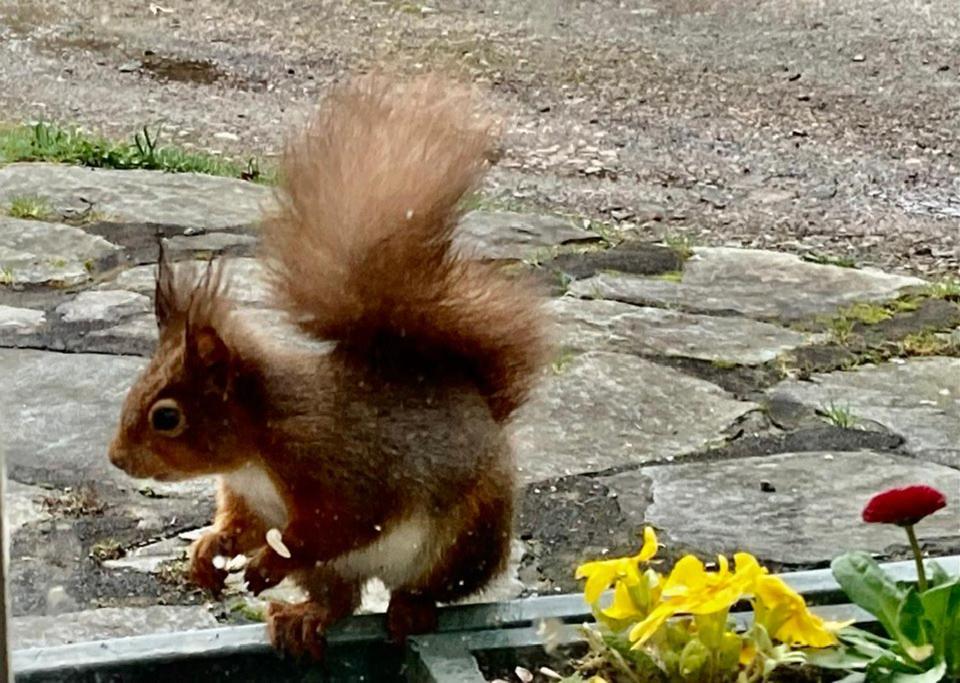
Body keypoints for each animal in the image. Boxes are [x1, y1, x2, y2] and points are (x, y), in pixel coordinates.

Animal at [107, 73, 548, 656]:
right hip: (336, 572)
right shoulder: (253, 501)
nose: (116, 460)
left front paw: (267, 562)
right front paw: (207, 549)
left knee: (433, 587)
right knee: (341, 601)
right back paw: (302, 617)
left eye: (166, 417)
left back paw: (408, 608)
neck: (255, 447)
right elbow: (242, 526)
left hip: (461, 538)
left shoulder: (337, 468)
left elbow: (336, 525)